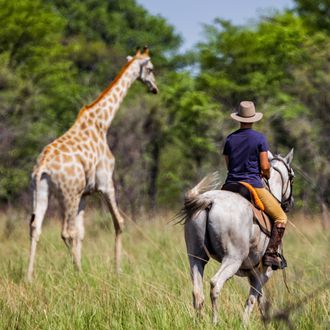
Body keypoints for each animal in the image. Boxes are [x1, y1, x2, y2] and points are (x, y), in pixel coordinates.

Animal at [27, 47, 159, 282]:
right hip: (68, 194)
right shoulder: (106, 183)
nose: (155, 88)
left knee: (36, 227)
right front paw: (118, 270)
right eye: (151, 68)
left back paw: (30, 277)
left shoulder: (85, 194)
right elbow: (119, 223)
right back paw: (79, 273)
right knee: (65, 231)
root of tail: (42, 167)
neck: (102, 122)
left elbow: (82, 233)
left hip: (40, 191)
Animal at [180, 150, 294, 324]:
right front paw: (245, 324)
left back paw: (198, 322)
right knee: (215, 285)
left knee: (197, 292)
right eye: (292, 176)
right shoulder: (264, 273)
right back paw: (215, 321)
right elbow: (253, 299)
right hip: (233, 259)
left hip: (196, 257)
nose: (290, 203)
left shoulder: (254, 273)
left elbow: (260, 300)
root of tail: (210, 200)